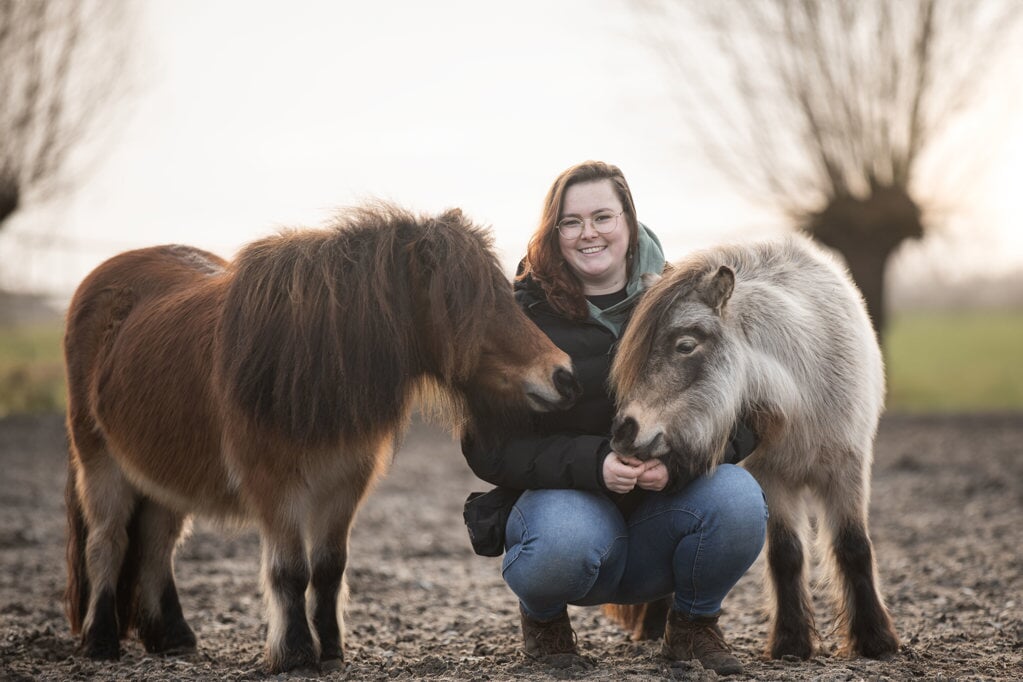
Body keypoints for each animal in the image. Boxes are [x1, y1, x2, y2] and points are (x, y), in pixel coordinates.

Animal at [63, 202, 581, 670]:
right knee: (107, 542)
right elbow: (291, 571)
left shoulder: (344, 483)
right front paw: (294, 653)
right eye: (465, 304)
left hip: (163, 476)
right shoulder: (275, 486)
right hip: (101, 464)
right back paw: (101, 641)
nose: (563, 375)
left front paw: (330, 650)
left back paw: (173, 637)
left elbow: (330, 568)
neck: (307, 359)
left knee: (156, 544)